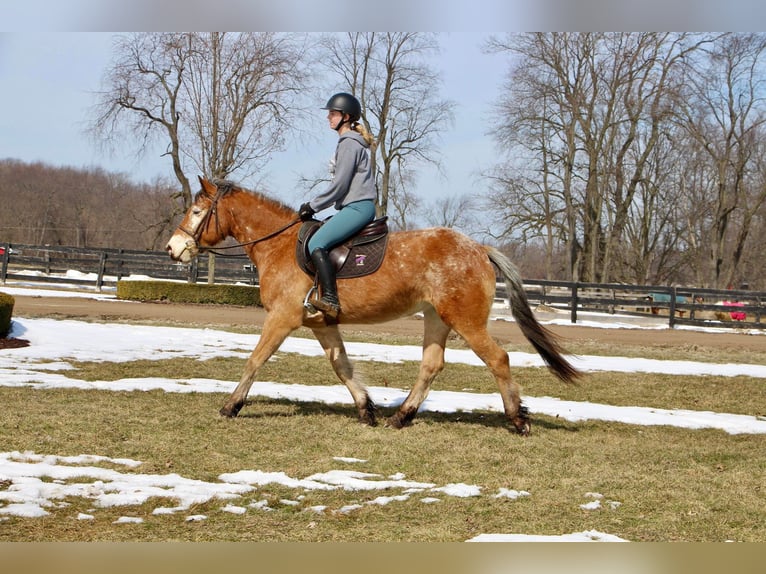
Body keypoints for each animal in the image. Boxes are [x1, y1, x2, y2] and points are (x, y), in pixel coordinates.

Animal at [165, 178, 580, 434]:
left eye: (198, 212)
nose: (173, 249)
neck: (279, 245)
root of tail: (479, 248)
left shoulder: (282, 319)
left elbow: (255, 360)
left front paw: (232, 406)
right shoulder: (321, 324)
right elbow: (342, 367)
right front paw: (367, 409)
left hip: (466, 320)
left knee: (498, 359)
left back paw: (518, 420)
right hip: (436, 317)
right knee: (431, 365)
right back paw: (402, 416)